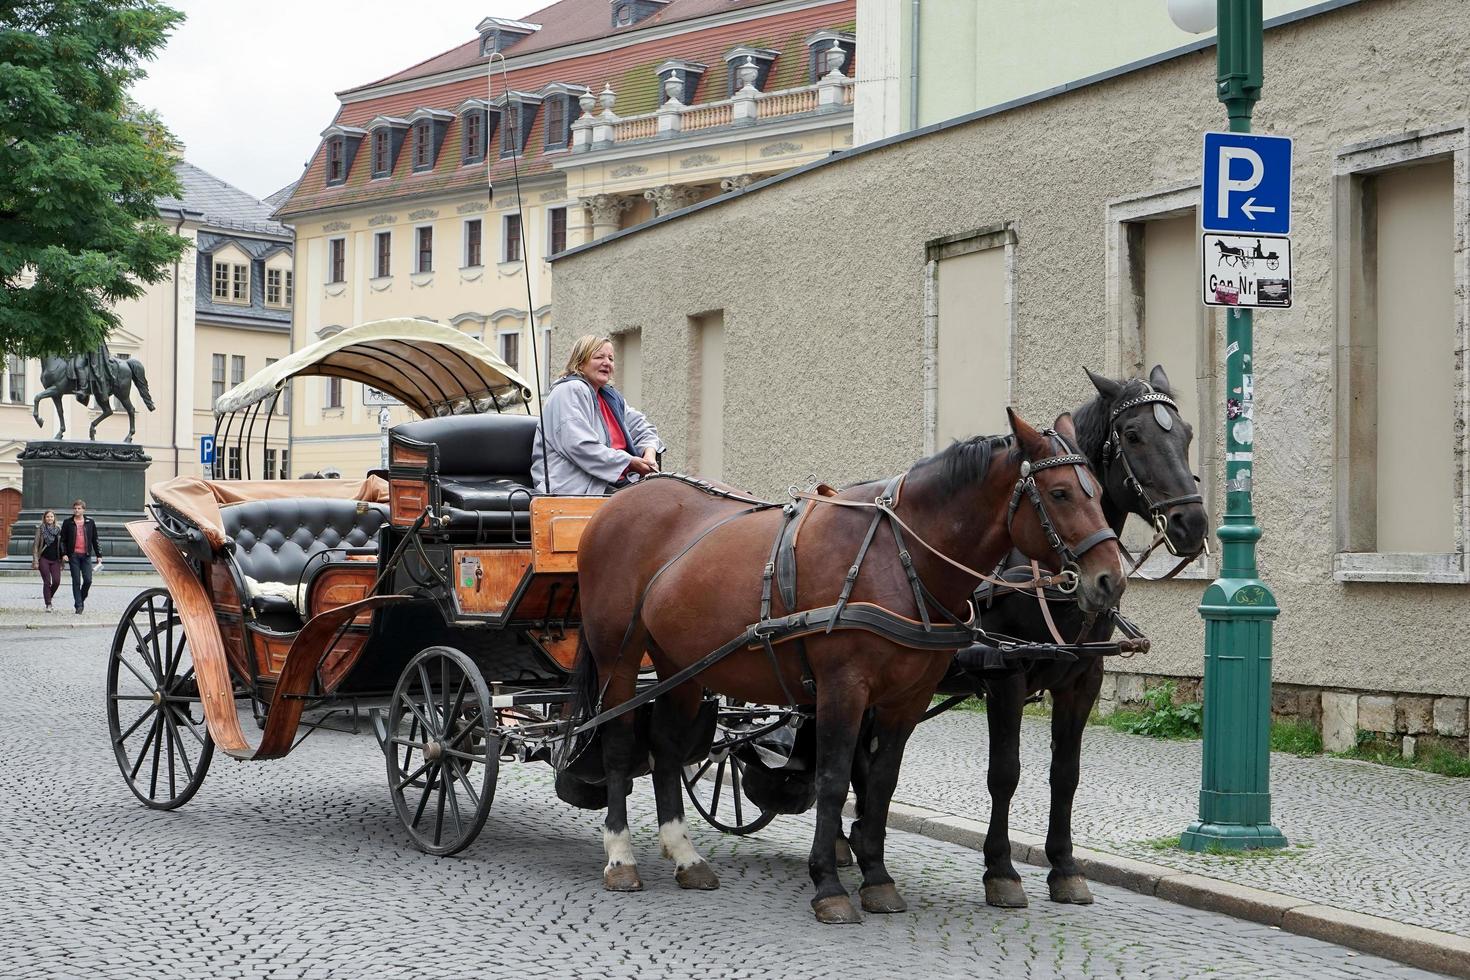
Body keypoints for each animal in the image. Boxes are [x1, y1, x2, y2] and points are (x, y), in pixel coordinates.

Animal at [573, 408, 1123, 928]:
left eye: (1099, 492)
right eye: (1059, 493)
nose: (1110, 581)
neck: (899, 555)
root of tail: (621, 502)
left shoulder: (908, 698)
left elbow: (881, 783)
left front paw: (876, 878)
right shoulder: (847, 688)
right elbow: (835, 780)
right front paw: (829, 885)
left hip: (678, 664)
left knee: (665, 747)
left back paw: (685, 855)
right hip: (620, 658)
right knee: (619, 744)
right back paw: (620, 856)